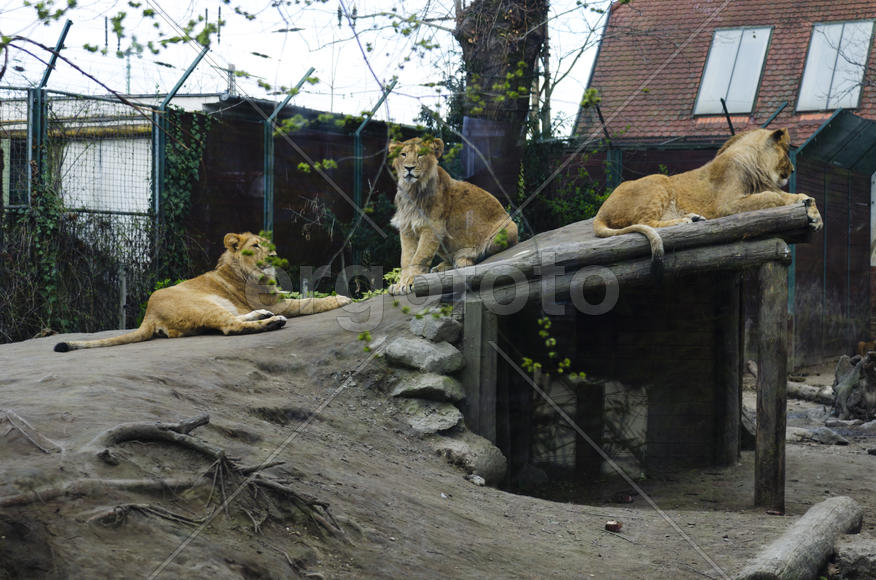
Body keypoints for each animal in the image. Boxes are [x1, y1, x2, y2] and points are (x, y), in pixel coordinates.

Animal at [54, 232, 351, 352]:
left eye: (267, 244)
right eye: (255, 246)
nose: (275, 255)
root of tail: (149, 315)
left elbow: (308, 297)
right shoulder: (279, 303)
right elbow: (310, 301)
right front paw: (343, 298)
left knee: (232, 320)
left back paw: (261, 315)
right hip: (204, 304)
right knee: (231, 327)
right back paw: (272, 322)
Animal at [386, 137, 518, 295]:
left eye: (420, 155)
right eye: (403, 154)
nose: (409, 168)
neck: (412, 190)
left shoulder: (433, 226)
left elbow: (420, 256)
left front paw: (410, 281)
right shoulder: (407, 228)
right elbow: (406, 259)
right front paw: (400, 284)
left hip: (509, 228)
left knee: (481, 253)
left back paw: (463, 260)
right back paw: (441, 266)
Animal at [593, 128, 823, 270]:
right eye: (786, 151)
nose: (793, 170)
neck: (758, 167)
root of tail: (600, 211)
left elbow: (799, 195)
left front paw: (814, 215)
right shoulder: (727, 204)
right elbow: (771, 197)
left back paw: (693, 218)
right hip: (659, 180)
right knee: (645, 221)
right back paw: (686, 220)